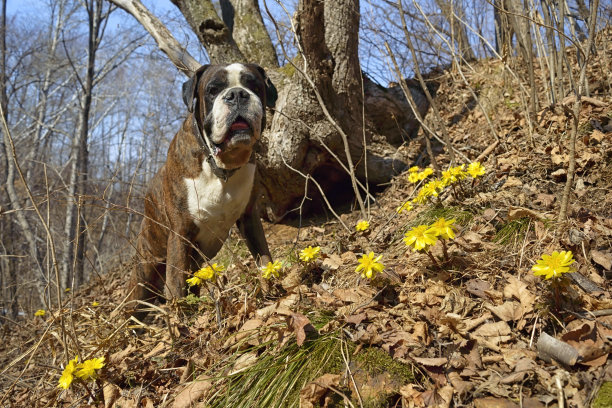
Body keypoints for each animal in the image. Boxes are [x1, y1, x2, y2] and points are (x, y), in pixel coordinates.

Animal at [130, 63, 278, 318]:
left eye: (253, 85)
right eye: (212, 90)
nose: (237, 94)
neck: (222, 166)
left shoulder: (250, 218)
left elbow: (264, 258)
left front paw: (272, 290)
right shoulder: (180, 234)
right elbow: (176, 285)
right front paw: (181, 323)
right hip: (143, 278)